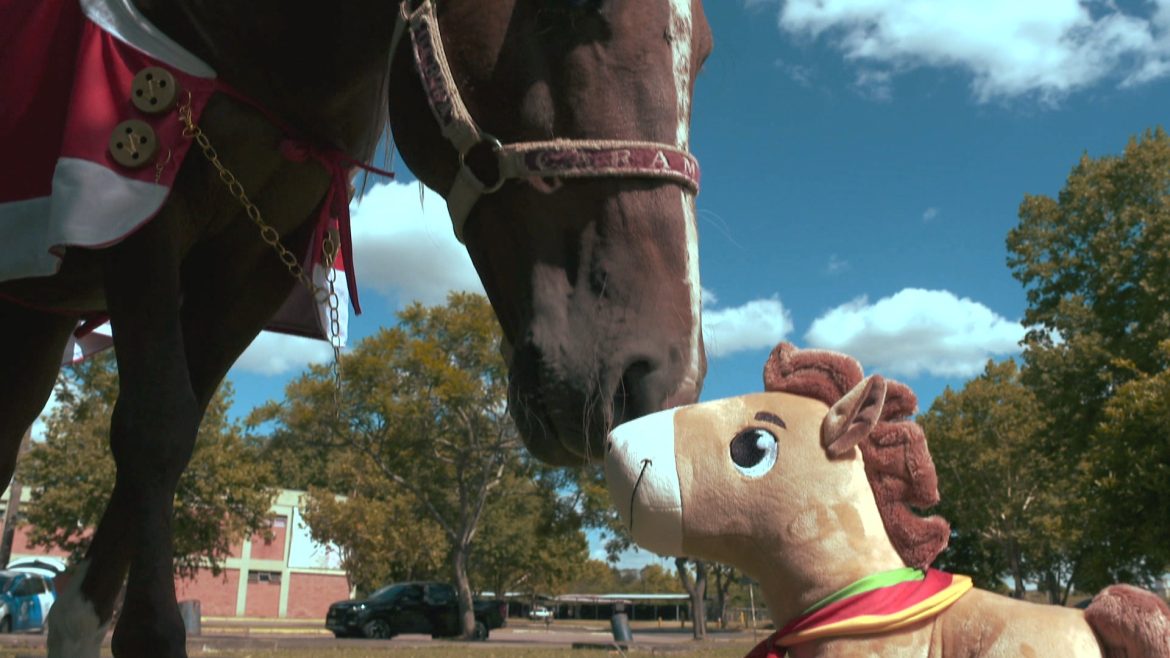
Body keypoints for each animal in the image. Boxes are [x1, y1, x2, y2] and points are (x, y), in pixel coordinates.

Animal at [0, 0, 712, 655]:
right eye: (563, 9)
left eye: (703, 52)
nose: (662, 382)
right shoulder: (138, 202)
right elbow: (153, 428)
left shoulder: (253, 264)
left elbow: (171, 438)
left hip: (39, 323)